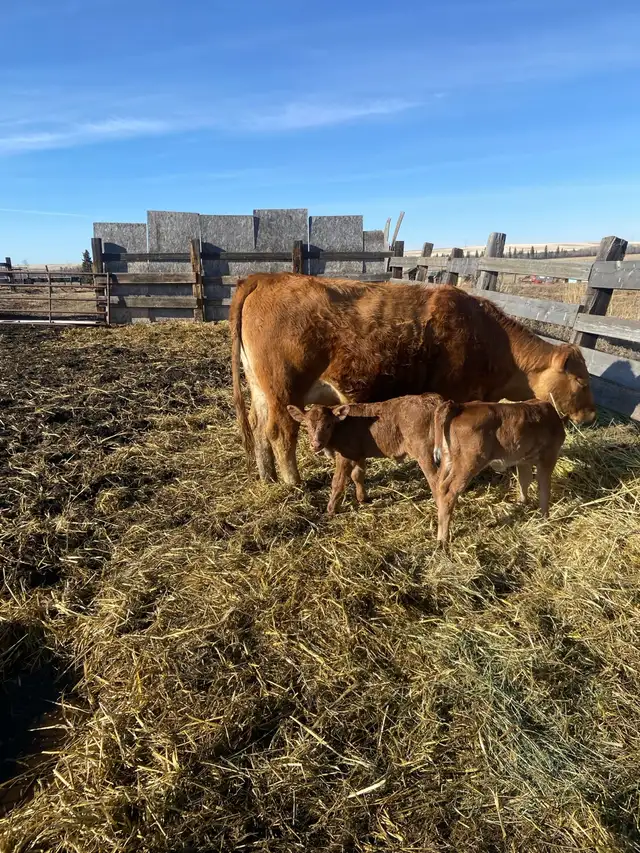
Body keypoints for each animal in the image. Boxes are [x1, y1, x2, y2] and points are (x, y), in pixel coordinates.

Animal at [230, 273, 595, 485]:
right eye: (581, 382)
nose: (591, 415)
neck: (489, 337)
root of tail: (266, 277)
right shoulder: (454, 395)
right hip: (284, 390)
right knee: (281, 433)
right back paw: (293, 481)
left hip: (261, 390)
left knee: (259, 428)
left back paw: (267, 475)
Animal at [287, 393, 443, 515]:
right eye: (307, 425)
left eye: (328, 425)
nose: (316, 444)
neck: (341, 425)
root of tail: (433, 400)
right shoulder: (358, 453)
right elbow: (358, 475)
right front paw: (362, 498)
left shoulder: (344, 455)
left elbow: (338, 481)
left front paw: (331, 509)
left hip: (424, 453)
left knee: (435, 479)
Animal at [433, 398, 566, 544]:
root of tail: (459, 406)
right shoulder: (549, 455)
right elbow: (544, 488)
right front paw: (545, 518)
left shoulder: (523, 460)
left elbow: (524, 481)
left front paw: (522, 503)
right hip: (468, 463)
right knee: (449, 492)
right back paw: (443, 538)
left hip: (448, 459)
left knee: (439, 486)